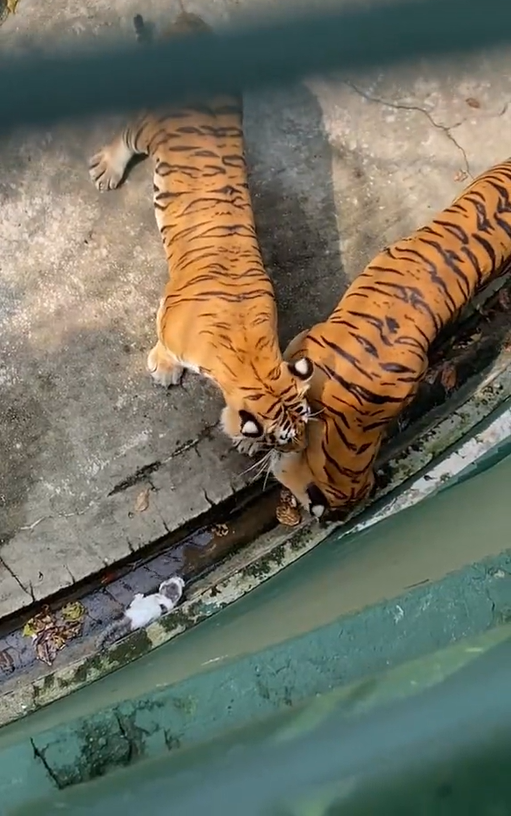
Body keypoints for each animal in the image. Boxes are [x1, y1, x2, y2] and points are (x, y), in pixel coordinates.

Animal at [90, 12, 314, 456]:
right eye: (281, 440)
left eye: (305, 422)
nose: (299, 450)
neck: (248, 357)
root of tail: (187, 20)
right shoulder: (168, 319)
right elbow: (164, 346)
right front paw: (162, 369)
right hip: (147, 127)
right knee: (125, 135)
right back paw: (107, 168)